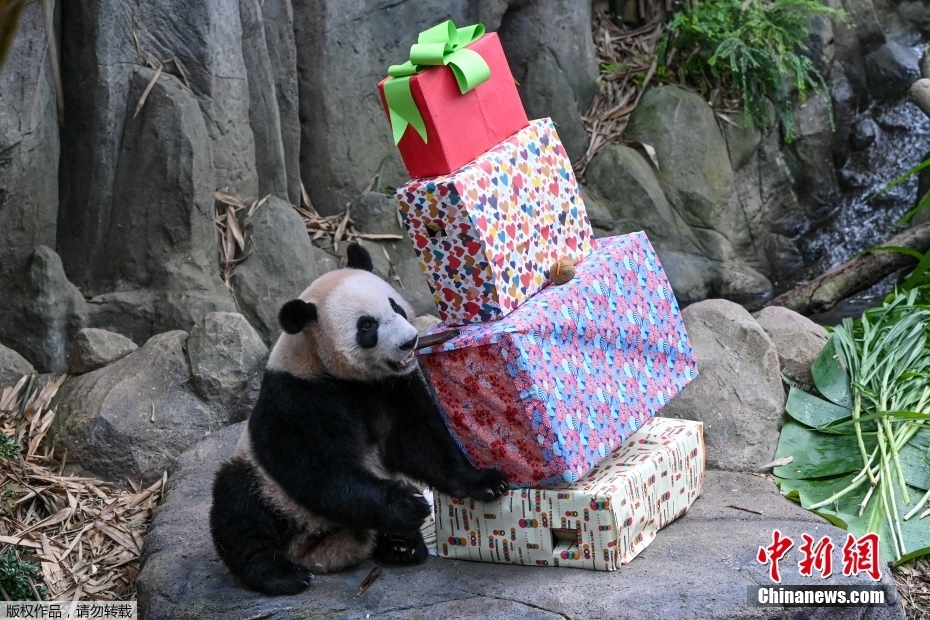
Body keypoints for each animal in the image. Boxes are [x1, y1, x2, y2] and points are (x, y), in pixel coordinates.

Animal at [210, 242, 509, 596]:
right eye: (367, 326)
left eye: (395, 306)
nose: (409, 341)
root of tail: (317, 551)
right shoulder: (296, 397)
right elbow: (322, 471)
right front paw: (409, 503)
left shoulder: (392, 387)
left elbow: (421, 443)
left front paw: (487, 482)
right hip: (267, 485)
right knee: (239, 510)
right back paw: (281, 574)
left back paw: (401, 545)